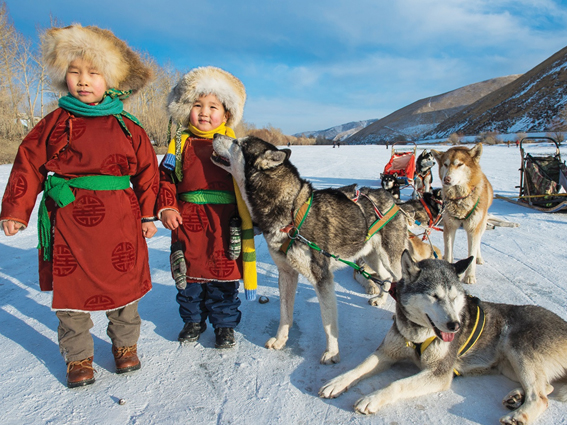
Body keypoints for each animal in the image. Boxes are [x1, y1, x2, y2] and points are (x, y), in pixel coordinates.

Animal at [212, 134, 408, 362]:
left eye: (238, 143)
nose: (215, 135)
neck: (291, 212)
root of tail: (391, 199)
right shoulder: (286, 273)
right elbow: (285, 313)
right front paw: (280, 340)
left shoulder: (322, 278)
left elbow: (327, 322)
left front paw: (332, 352)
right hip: (371, 256)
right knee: (386, 277)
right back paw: (381, 298)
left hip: (391, 258)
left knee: (397, 280)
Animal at [322, 250, 567, 422]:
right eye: (435, 296)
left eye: (455, 296)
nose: (455, 325)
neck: (418, 334)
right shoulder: (387, 352)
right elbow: (361, 367)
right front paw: (337, 382)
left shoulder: (438, 374)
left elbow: (397, 384)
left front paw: (372, 398)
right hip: (510, 365)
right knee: (547, 388)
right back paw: (517, 396)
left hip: (518, 351)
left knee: (541, 397)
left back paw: (519, 415)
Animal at [432, 144, 494, 284]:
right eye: (445, 164)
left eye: (460, 164)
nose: (446, 179)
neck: (459, 199)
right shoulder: (449, 226)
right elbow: (449, 249)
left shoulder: (473, 228)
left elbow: (472, 253)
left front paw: (469, 276)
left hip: (481, 224)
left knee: (478, 243)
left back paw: (479, 258)